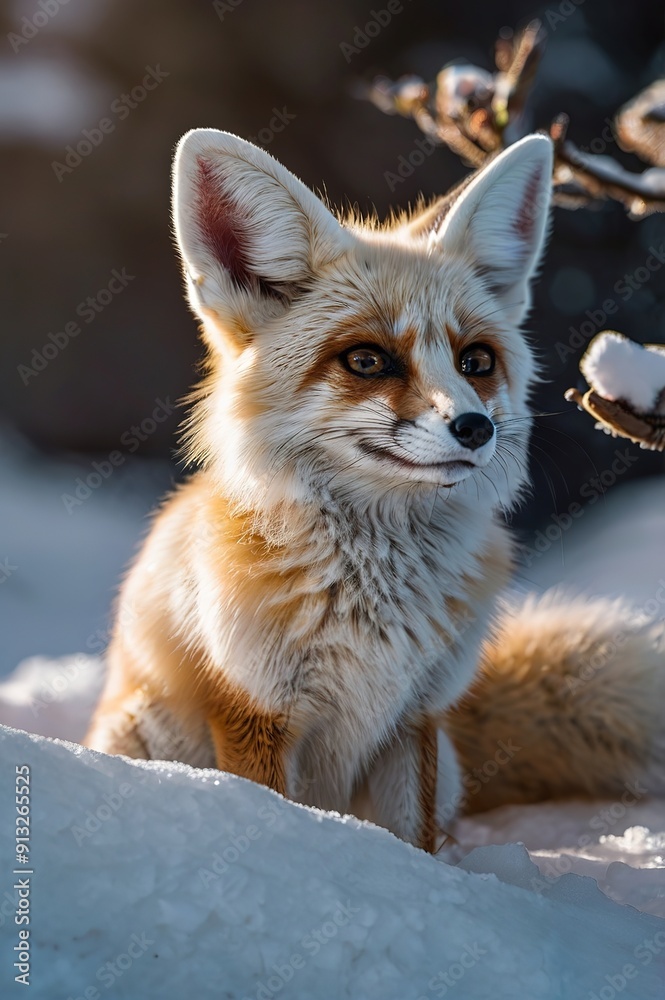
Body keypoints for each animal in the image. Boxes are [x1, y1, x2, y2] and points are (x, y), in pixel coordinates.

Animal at [85, 128, 665, 851]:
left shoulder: (414, 716)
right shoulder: (255, 709)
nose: (475, 427)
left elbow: (414, 844)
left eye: (476, 361)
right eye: (366, 360)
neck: (372, 603)